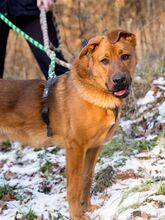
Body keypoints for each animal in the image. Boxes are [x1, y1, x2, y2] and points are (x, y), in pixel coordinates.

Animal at [0, 29, 137, 220]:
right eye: (104, 61)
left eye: (125, 56)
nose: (119, 80)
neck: (96, 91)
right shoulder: (75, 147)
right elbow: (74, 186)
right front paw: (77, 215)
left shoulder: (93, 148)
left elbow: (86, 179)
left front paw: (87, 207)